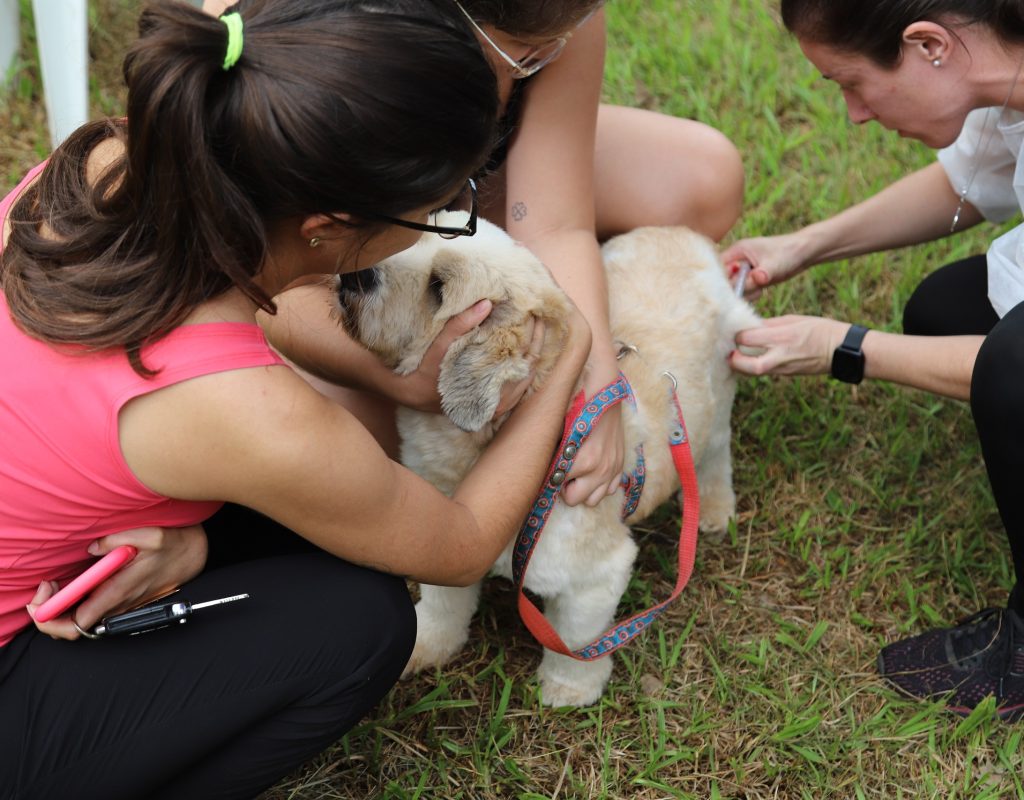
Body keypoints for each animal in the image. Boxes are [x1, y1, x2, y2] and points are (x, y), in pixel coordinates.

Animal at [335, 214, 761, 704]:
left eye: (438, 287)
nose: (356, 274)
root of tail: (678, 234)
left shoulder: (596, 575)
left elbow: (574, 638)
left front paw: (570, 688)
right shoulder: (444, 541)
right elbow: (444, 603)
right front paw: (429, 644)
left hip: (721, 392)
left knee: (714, 454)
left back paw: (714, 509)